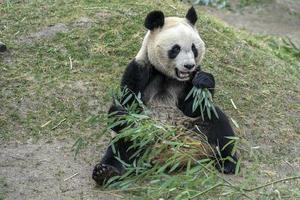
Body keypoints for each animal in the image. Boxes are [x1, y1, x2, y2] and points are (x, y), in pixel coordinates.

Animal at [92, 7, 238, 185]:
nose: (189, 66)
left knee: (218, 123)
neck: (167, 76)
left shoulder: (189, 80)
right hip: (140, 137)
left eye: (194, 48)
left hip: (195, 126)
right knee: (123, 144)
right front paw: (120, 111)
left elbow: (193, 105)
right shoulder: (140, 69)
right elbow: (126, 105)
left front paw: (204, 80)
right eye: (176, 49)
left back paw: (228, 163)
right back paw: (105, 172)